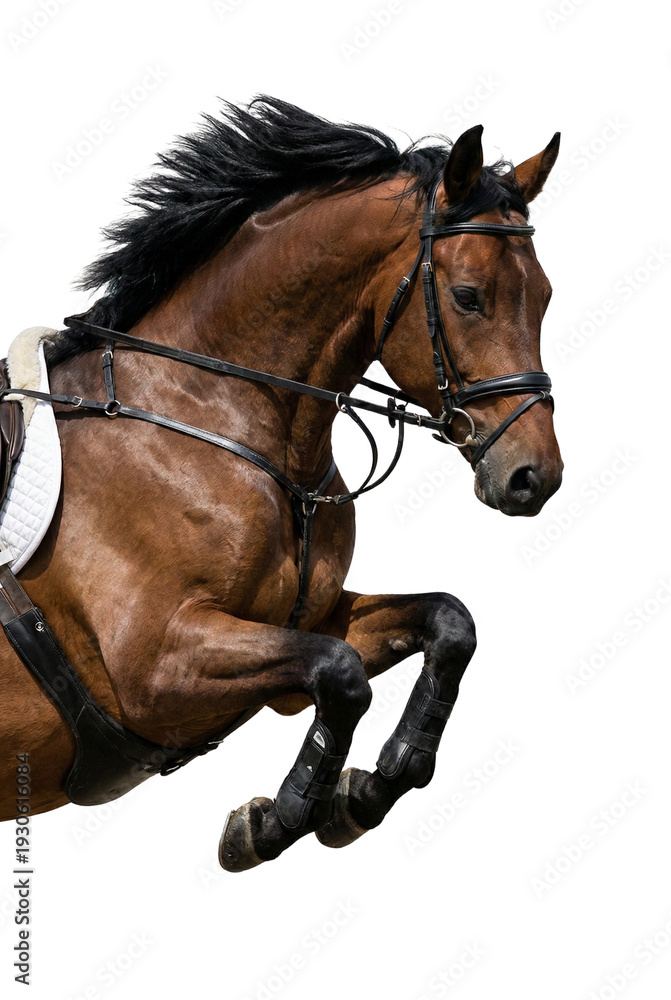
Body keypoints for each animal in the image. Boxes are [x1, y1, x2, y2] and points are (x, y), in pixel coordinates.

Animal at [0, 97, 562, 871]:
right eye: (468, 297)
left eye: (544, 296)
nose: (534, 477)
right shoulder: (152, 669)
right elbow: (341, 676)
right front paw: (273, 821)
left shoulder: (305, 623)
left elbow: (448, 624)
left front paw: (368, 790)